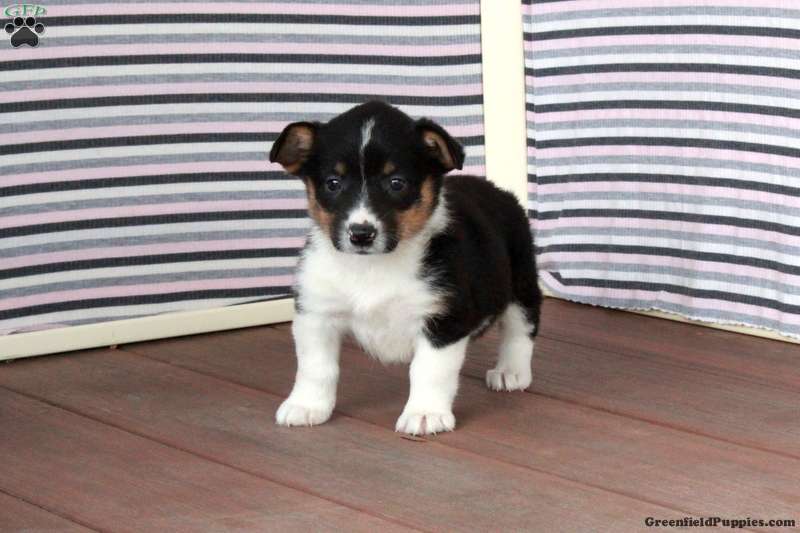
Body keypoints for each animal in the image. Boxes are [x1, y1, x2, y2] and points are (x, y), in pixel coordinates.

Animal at [269, 101, 541, 435]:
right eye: (333, 184)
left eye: (396, 183)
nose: (361, 234)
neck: (372, 267)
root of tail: (498, 190)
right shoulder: (316, 313)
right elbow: (316, 367)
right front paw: (306, 406)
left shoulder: (442, 321)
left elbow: (428, 371)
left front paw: (425, 414)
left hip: (521, 283)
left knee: (521, 329)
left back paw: (511, 372)